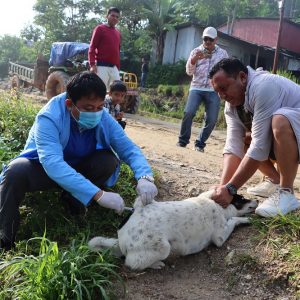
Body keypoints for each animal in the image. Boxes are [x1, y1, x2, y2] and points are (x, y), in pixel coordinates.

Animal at [88, 191, 256, 270]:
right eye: (242, 198)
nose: (257, 200)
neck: (217, 204)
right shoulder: (220, 237)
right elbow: (233, 220)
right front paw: (246, 220)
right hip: (163, 247)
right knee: (131, 263)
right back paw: (155, 264)